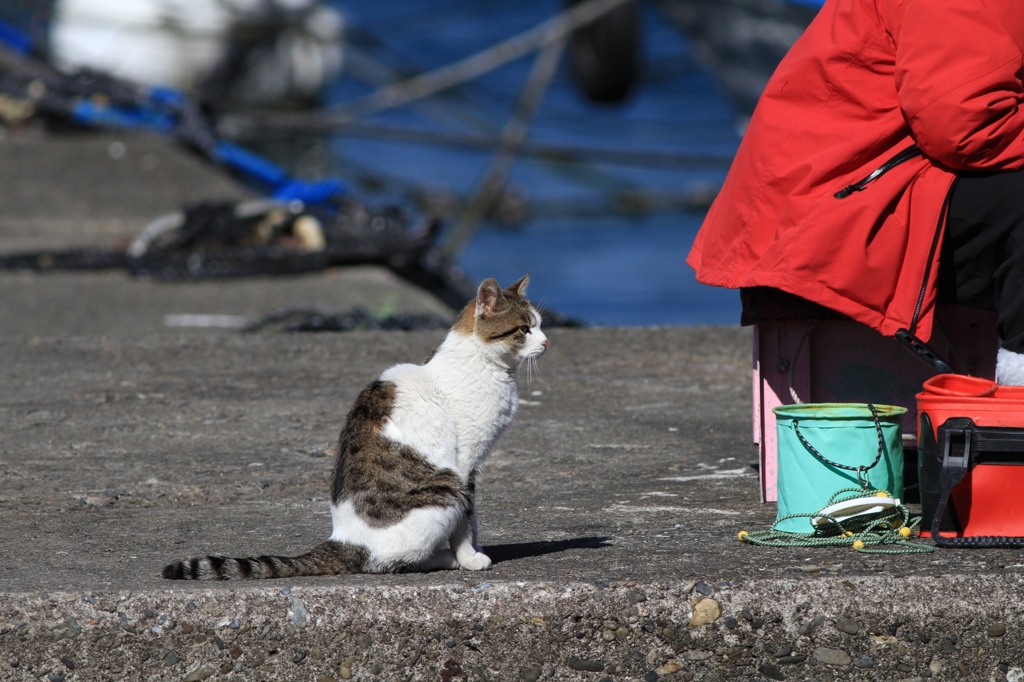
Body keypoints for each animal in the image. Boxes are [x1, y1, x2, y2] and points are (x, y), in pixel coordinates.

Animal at [161, 274, 544, 577]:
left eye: (540, 325)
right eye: (525, 328)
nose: (546, 341)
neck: (485, 367)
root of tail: (344, 539)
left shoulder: (474, 467)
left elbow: (473, 519)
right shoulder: (466, 464)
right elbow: (467, 520)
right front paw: (469, 557)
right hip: (446, 489)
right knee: (388, 562)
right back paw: (445, 558)